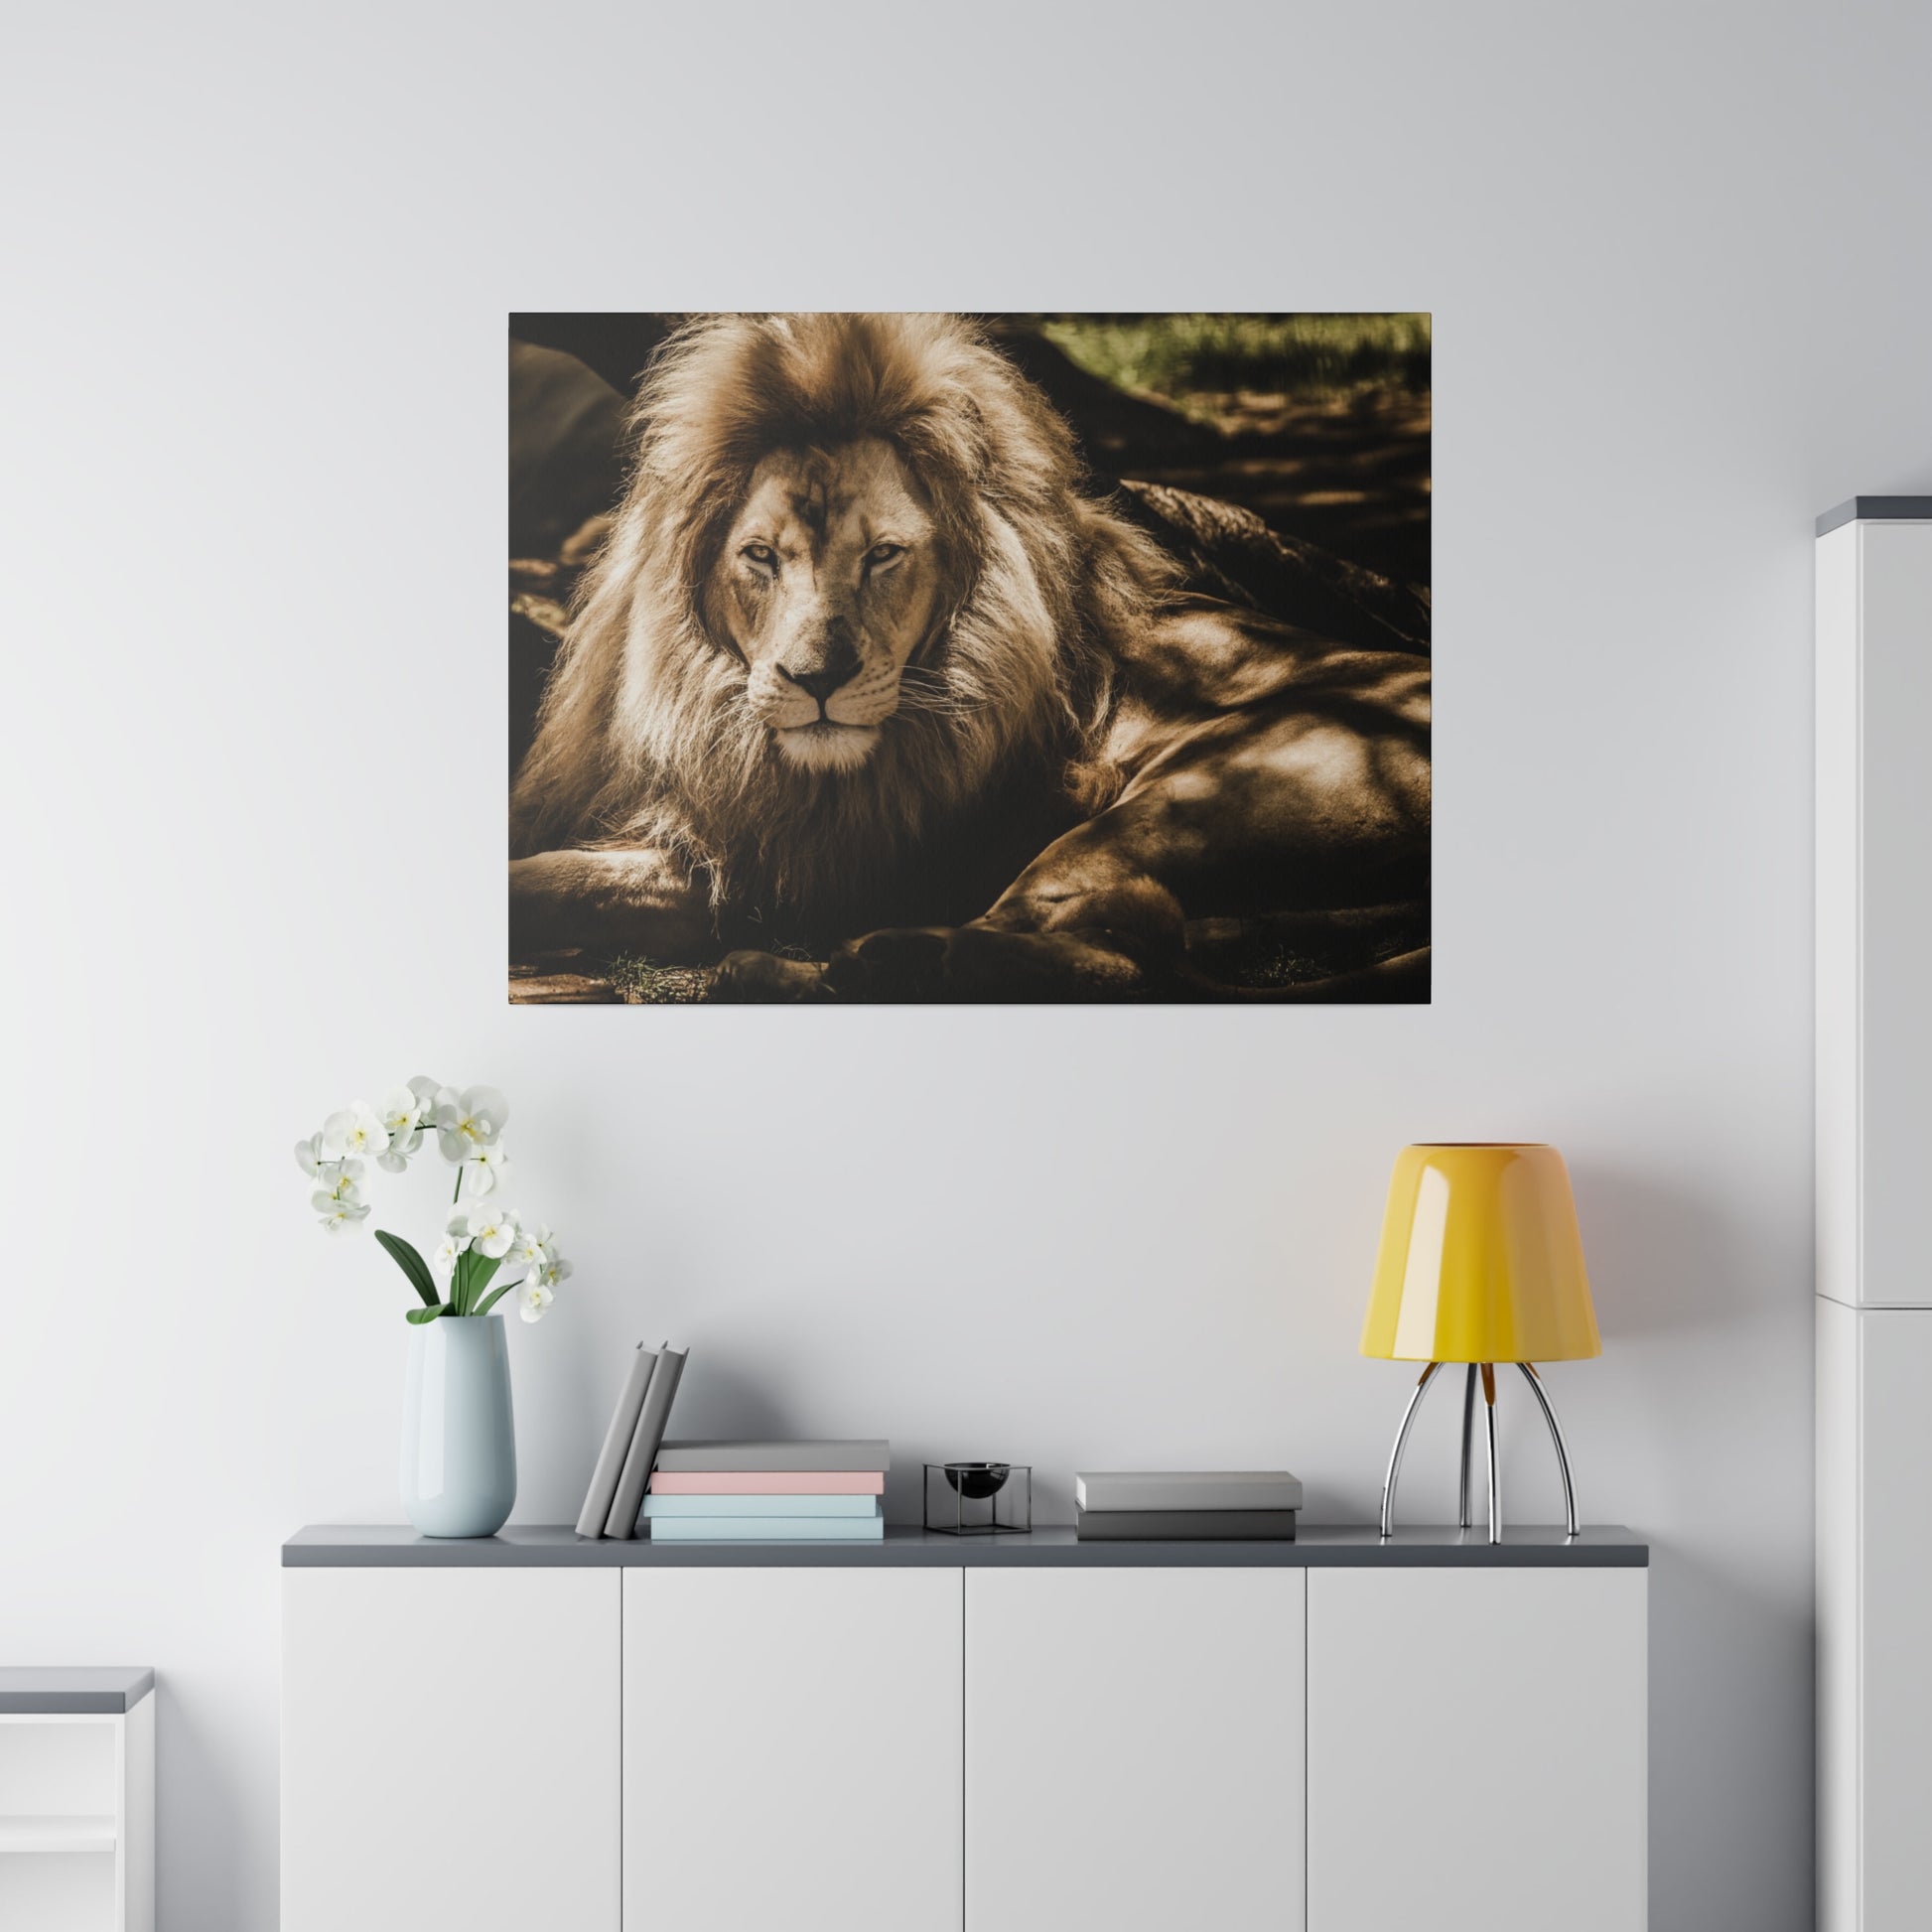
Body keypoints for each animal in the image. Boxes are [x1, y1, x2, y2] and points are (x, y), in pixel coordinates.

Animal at [505, 309, 1430, 1004]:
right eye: (761, 557)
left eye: (884, 555)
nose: (817, 682)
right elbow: (560, 877)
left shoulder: (801, 865)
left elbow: (546, 880)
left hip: (1181, 799)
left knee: (1107, 955)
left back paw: (842, 965)